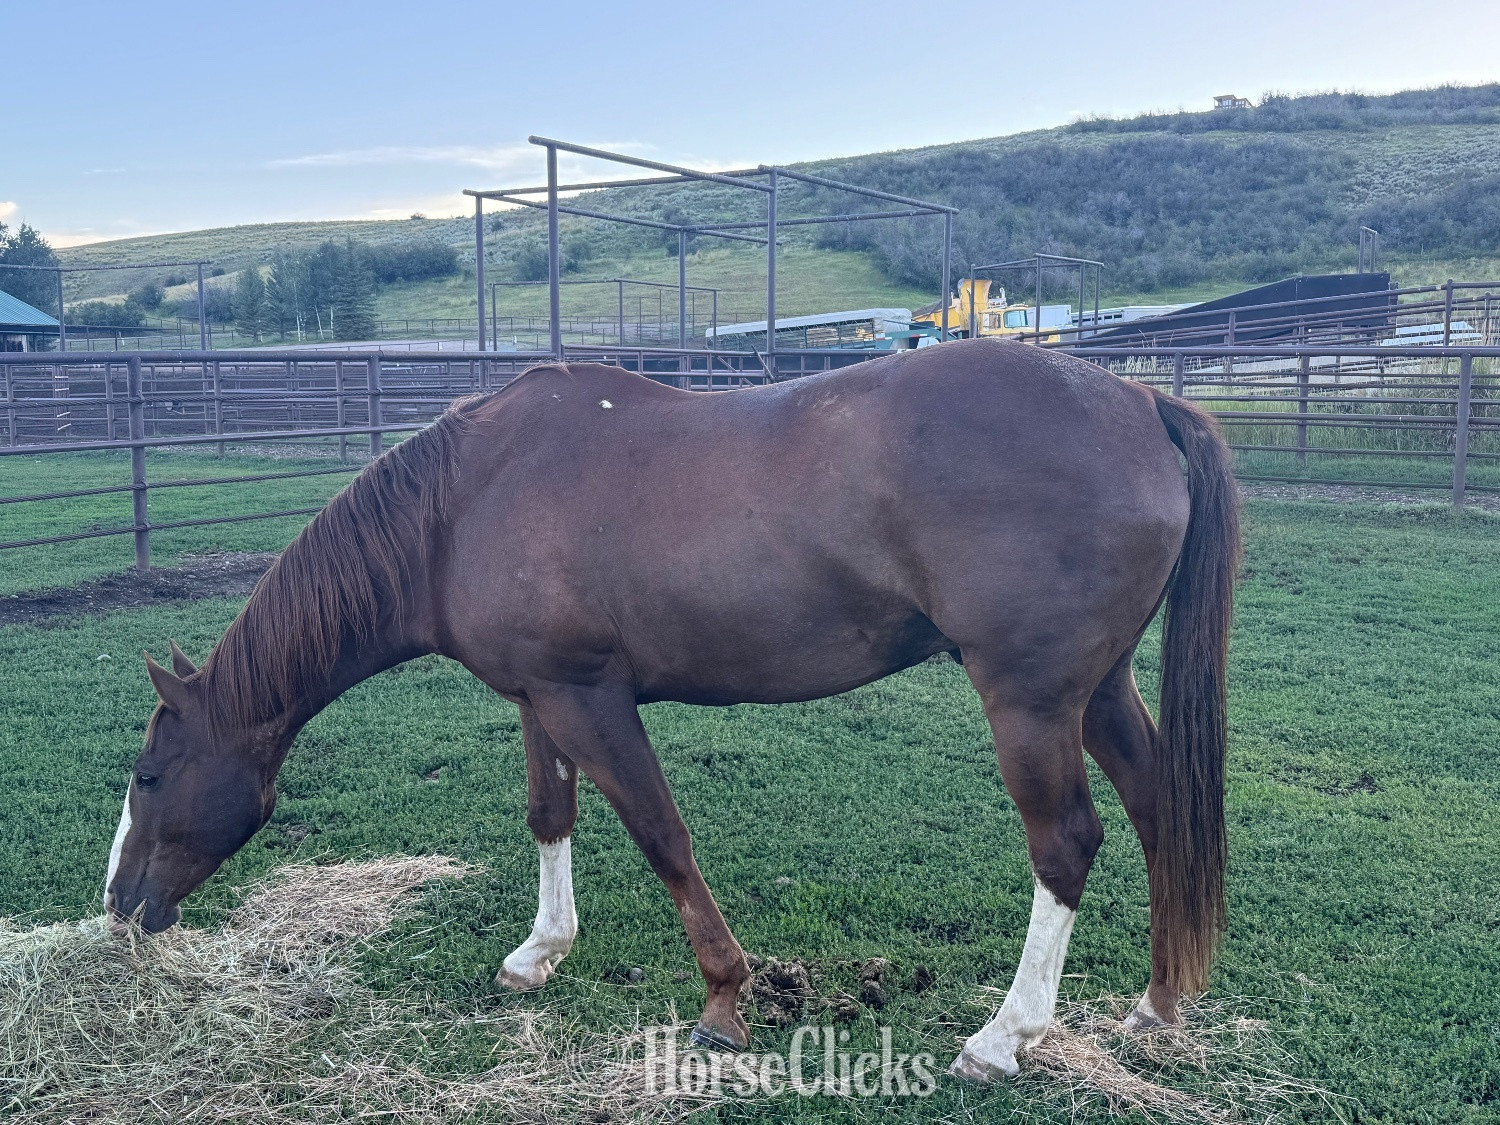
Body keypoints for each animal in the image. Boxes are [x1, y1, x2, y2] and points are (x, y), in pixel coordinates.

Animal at [104, 338, 1238, 1082]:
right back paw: (1157, 1001)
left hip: (1031, 701)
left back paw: (1005, 1037)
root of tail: (1139, 401)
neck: (462, 504)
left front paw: (726, 1001)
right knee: (1157, 808)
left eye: (150, 775)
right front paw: (539, 953)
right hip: (1100, 689)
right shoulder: (543, 696)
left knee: (1068, 843)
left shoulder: (591, 699)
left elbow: (662, 835)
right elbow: (550, 816)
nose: (121, 905)